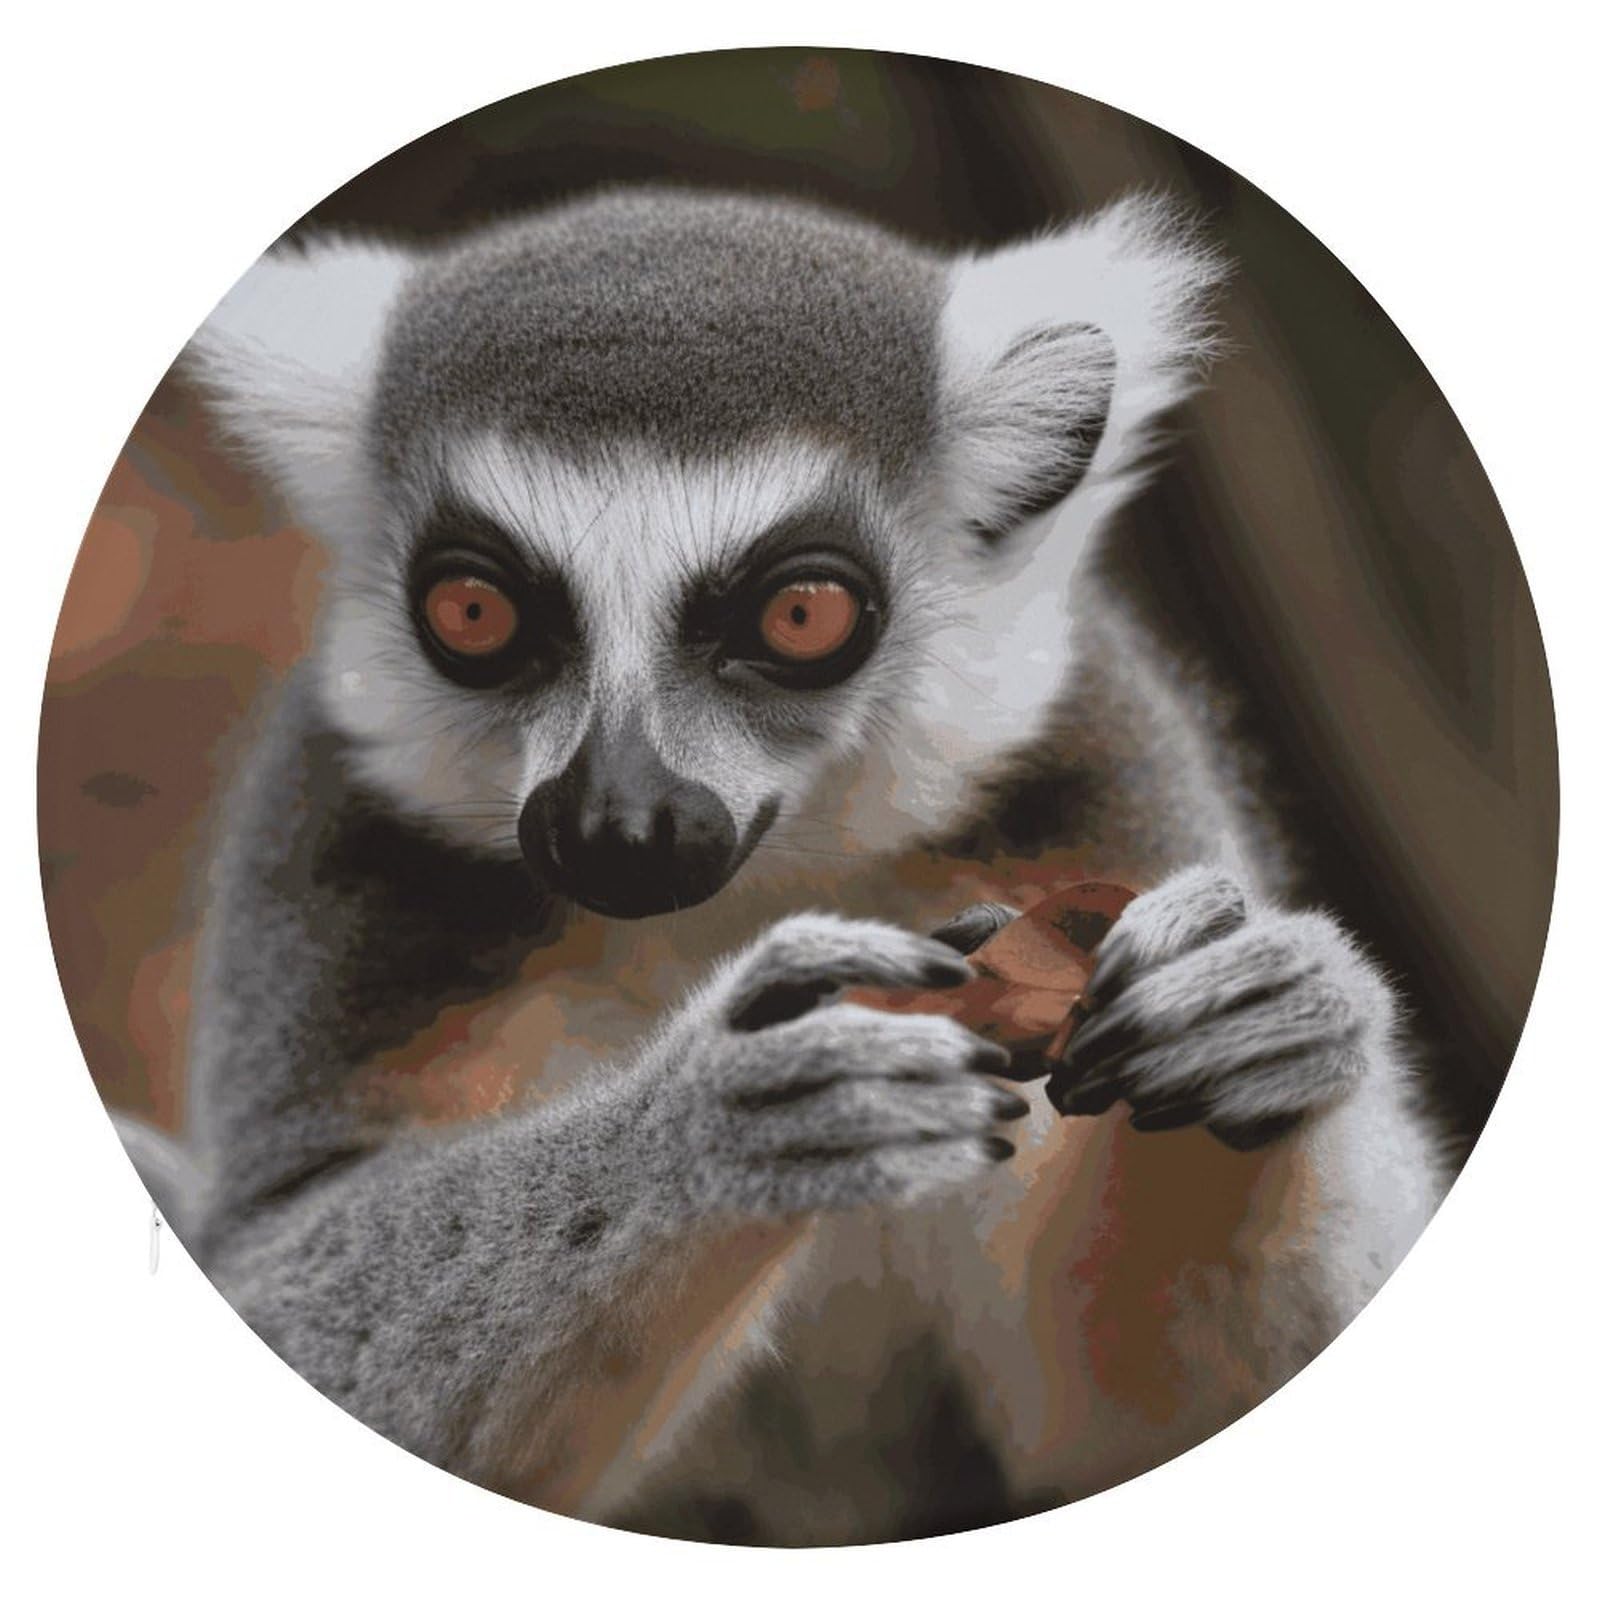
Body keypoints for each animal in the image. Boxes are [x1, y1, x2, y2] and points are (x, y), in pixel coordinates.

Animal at [112, 185, 1445, 1543]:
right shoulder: (343, 833)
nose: (620, 826)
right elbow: (283, 1270)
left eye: (800, 615)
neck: (755, 883)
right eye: (473, 613)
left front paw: (1256, 1017)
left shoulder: (1096, 788)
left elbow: (1134, 1416)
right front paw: (703, 1122)